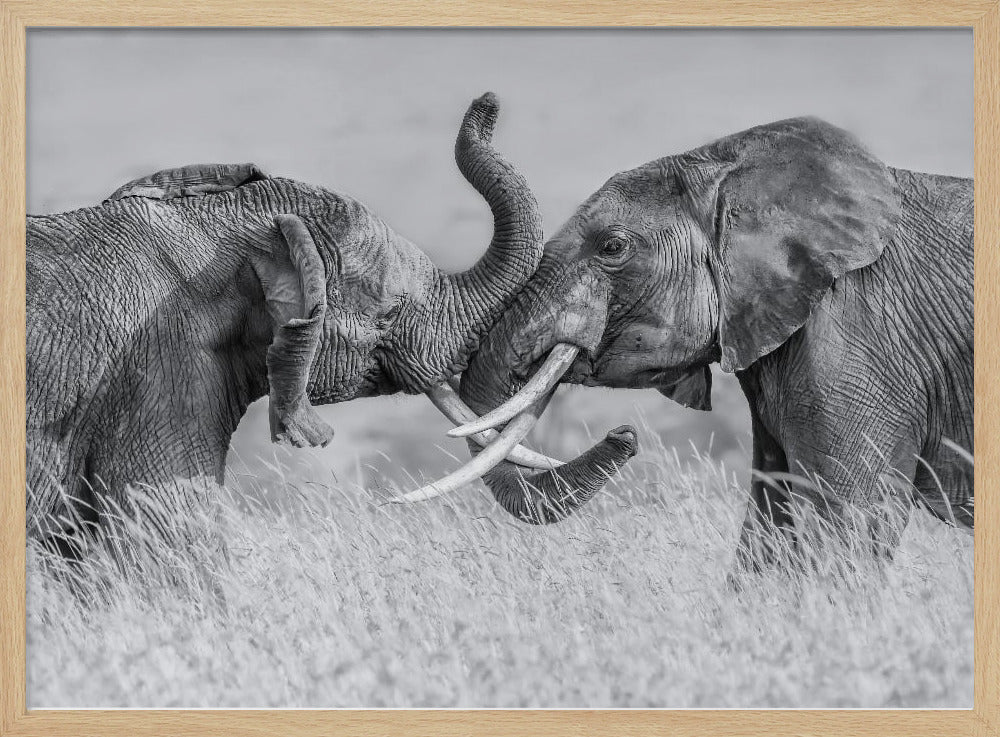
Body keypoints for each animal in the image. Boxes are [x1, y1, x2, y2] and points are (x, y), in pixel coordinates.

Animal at [416, 116, 973, 565]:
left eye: (611, 247)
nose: (625, 435)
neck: (731, 169)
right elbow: (769, 525)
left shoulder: (859, 336)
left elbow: (846, 526)